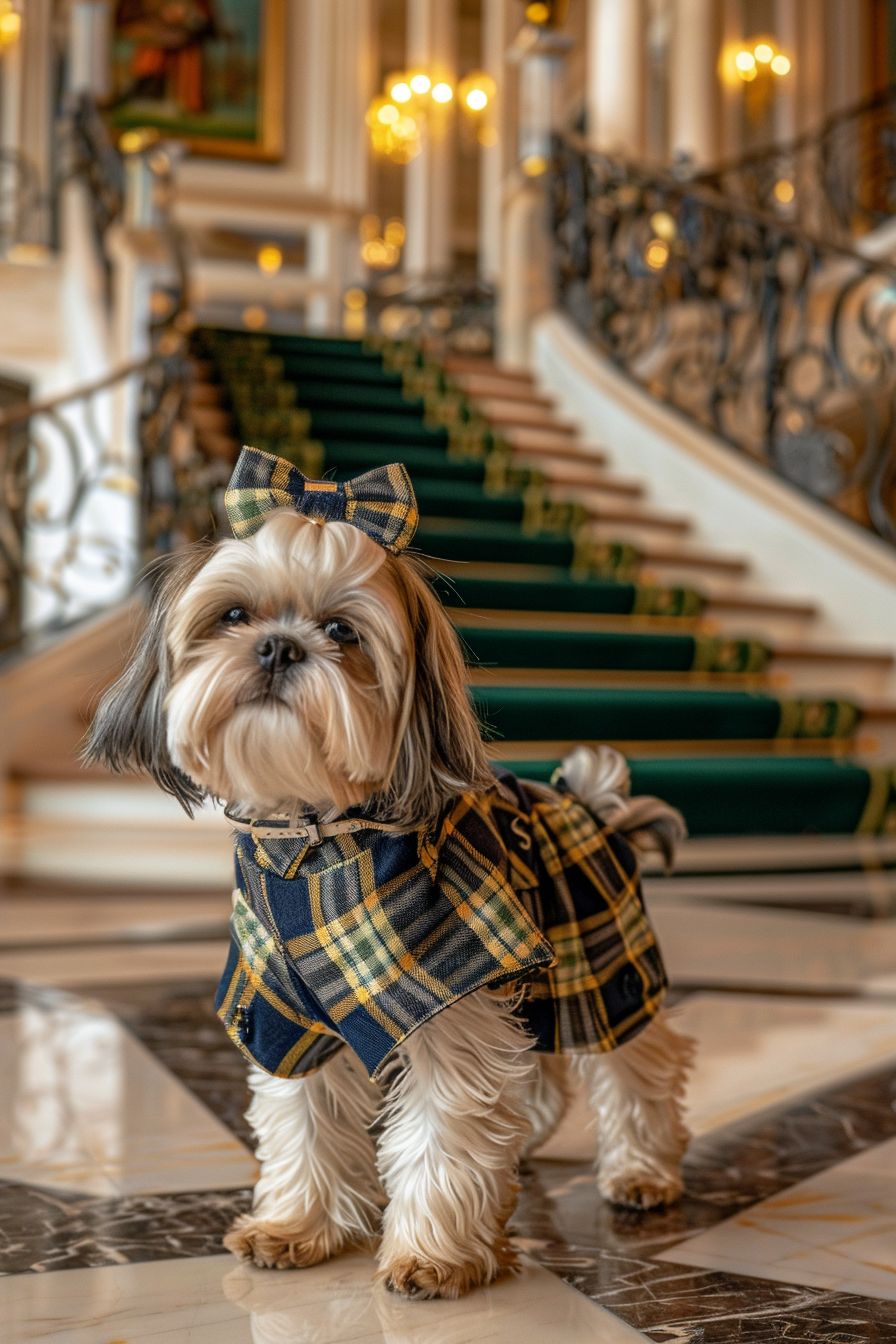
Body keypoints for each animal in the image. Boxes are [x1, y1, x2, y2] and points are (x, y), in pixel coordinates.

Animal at [85, 446, 693, 1295]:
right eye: (234, 617)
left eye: (343, 631)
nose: (278, 646)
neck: (313, 849)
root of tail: (593, 802)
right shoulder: (286, 1012)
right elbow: (303, 1120)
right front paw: (296, 1225)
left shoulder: (449, 999)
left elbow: (443, 1131)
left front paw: (433, 1254)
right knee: (536, 1074)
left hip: (603, 971)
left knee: (640, 1064)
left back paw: (642, 1169)